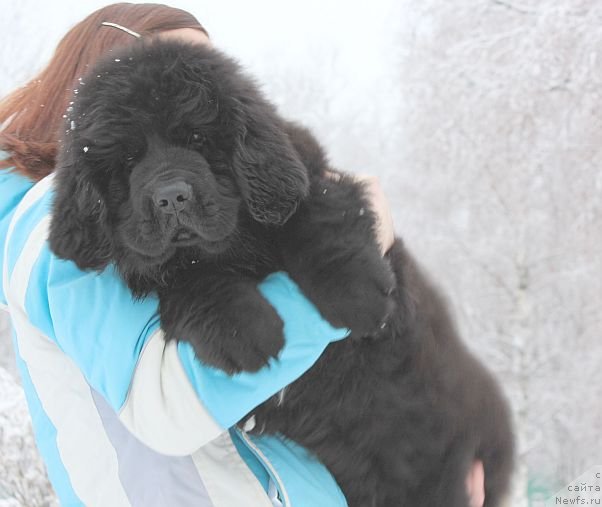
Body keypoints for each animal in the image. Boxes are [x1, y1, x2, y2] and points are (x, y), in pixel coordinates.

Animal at [49, 39, 512, 507]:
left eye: (197, 138)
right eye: (127, 160)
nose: (171, 197)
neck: (235, 247)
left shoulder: (302, 177)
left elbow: (314, 217)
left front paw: (357, 296)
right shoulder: (171, 267)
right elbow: (190, 281)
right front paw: (245, 332)